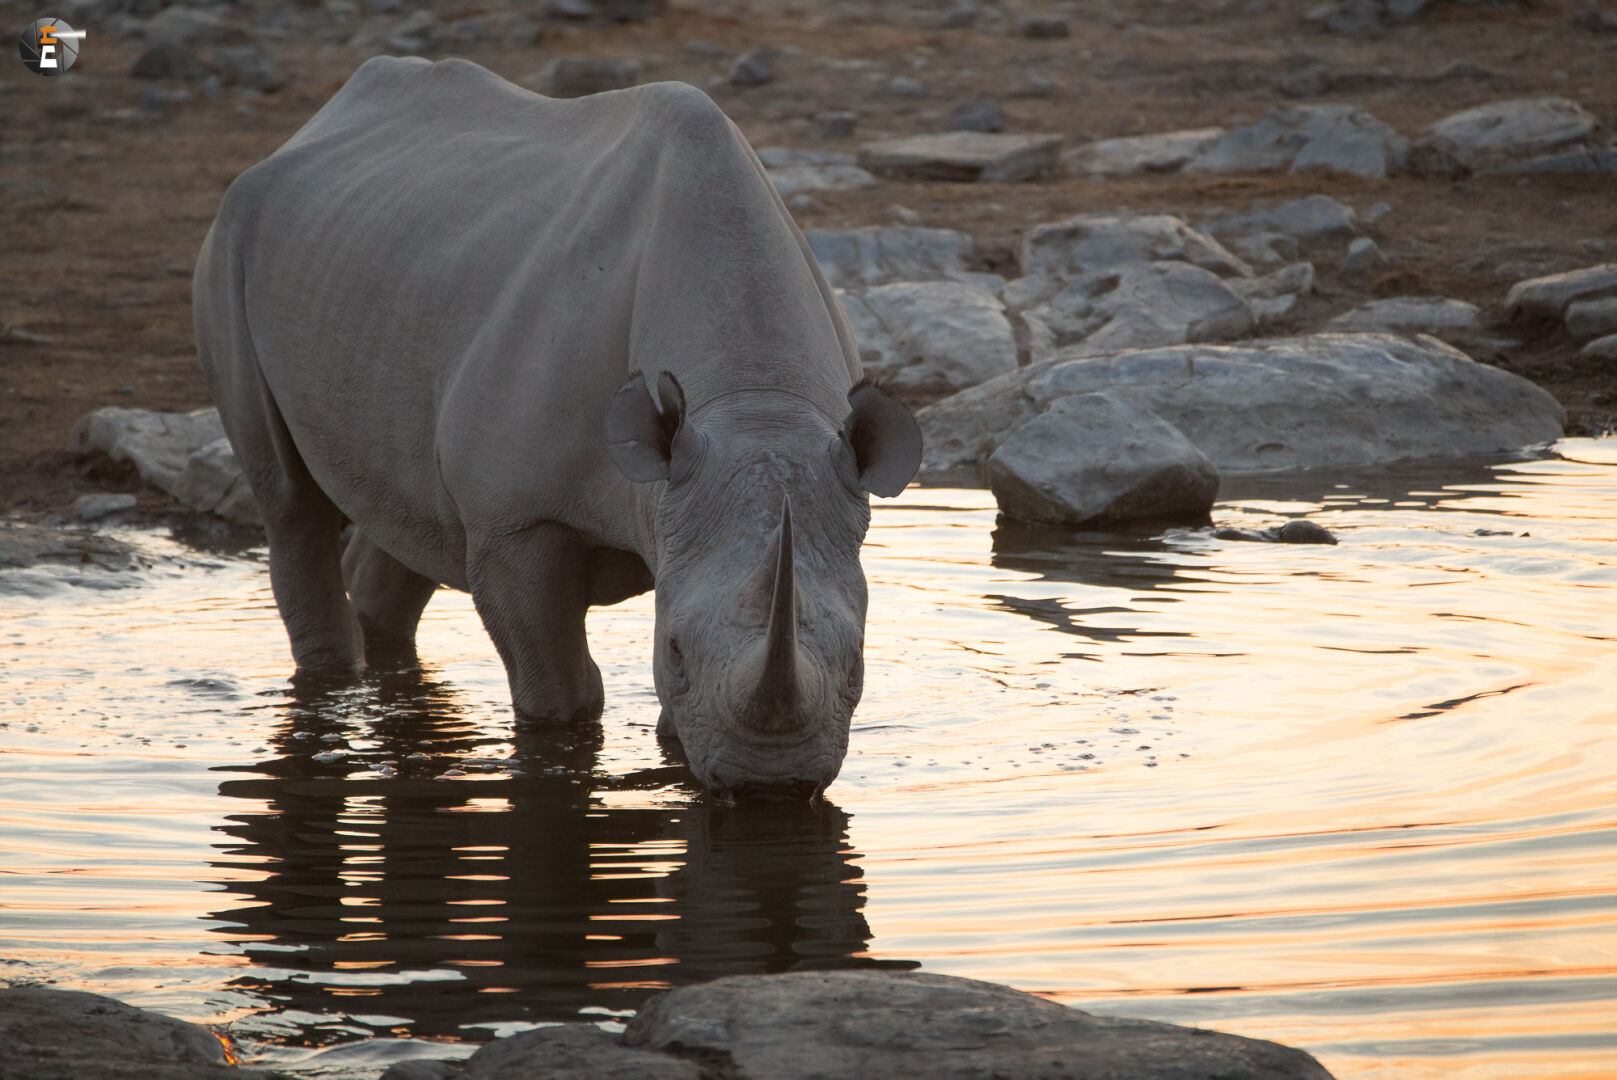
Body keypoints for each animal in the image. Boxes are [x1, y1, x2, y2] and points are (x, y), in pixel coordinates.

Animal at [192, 57, 921, 801]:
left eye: (859, 664)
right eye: (673, 652)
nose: (770, 787)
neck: (754, 398)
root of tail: (315, 123)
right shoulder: (517, 522)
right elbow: (562, 691)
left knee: (410, 512)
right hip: (232, 240)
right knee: (290, 500)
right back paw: (330, 680)